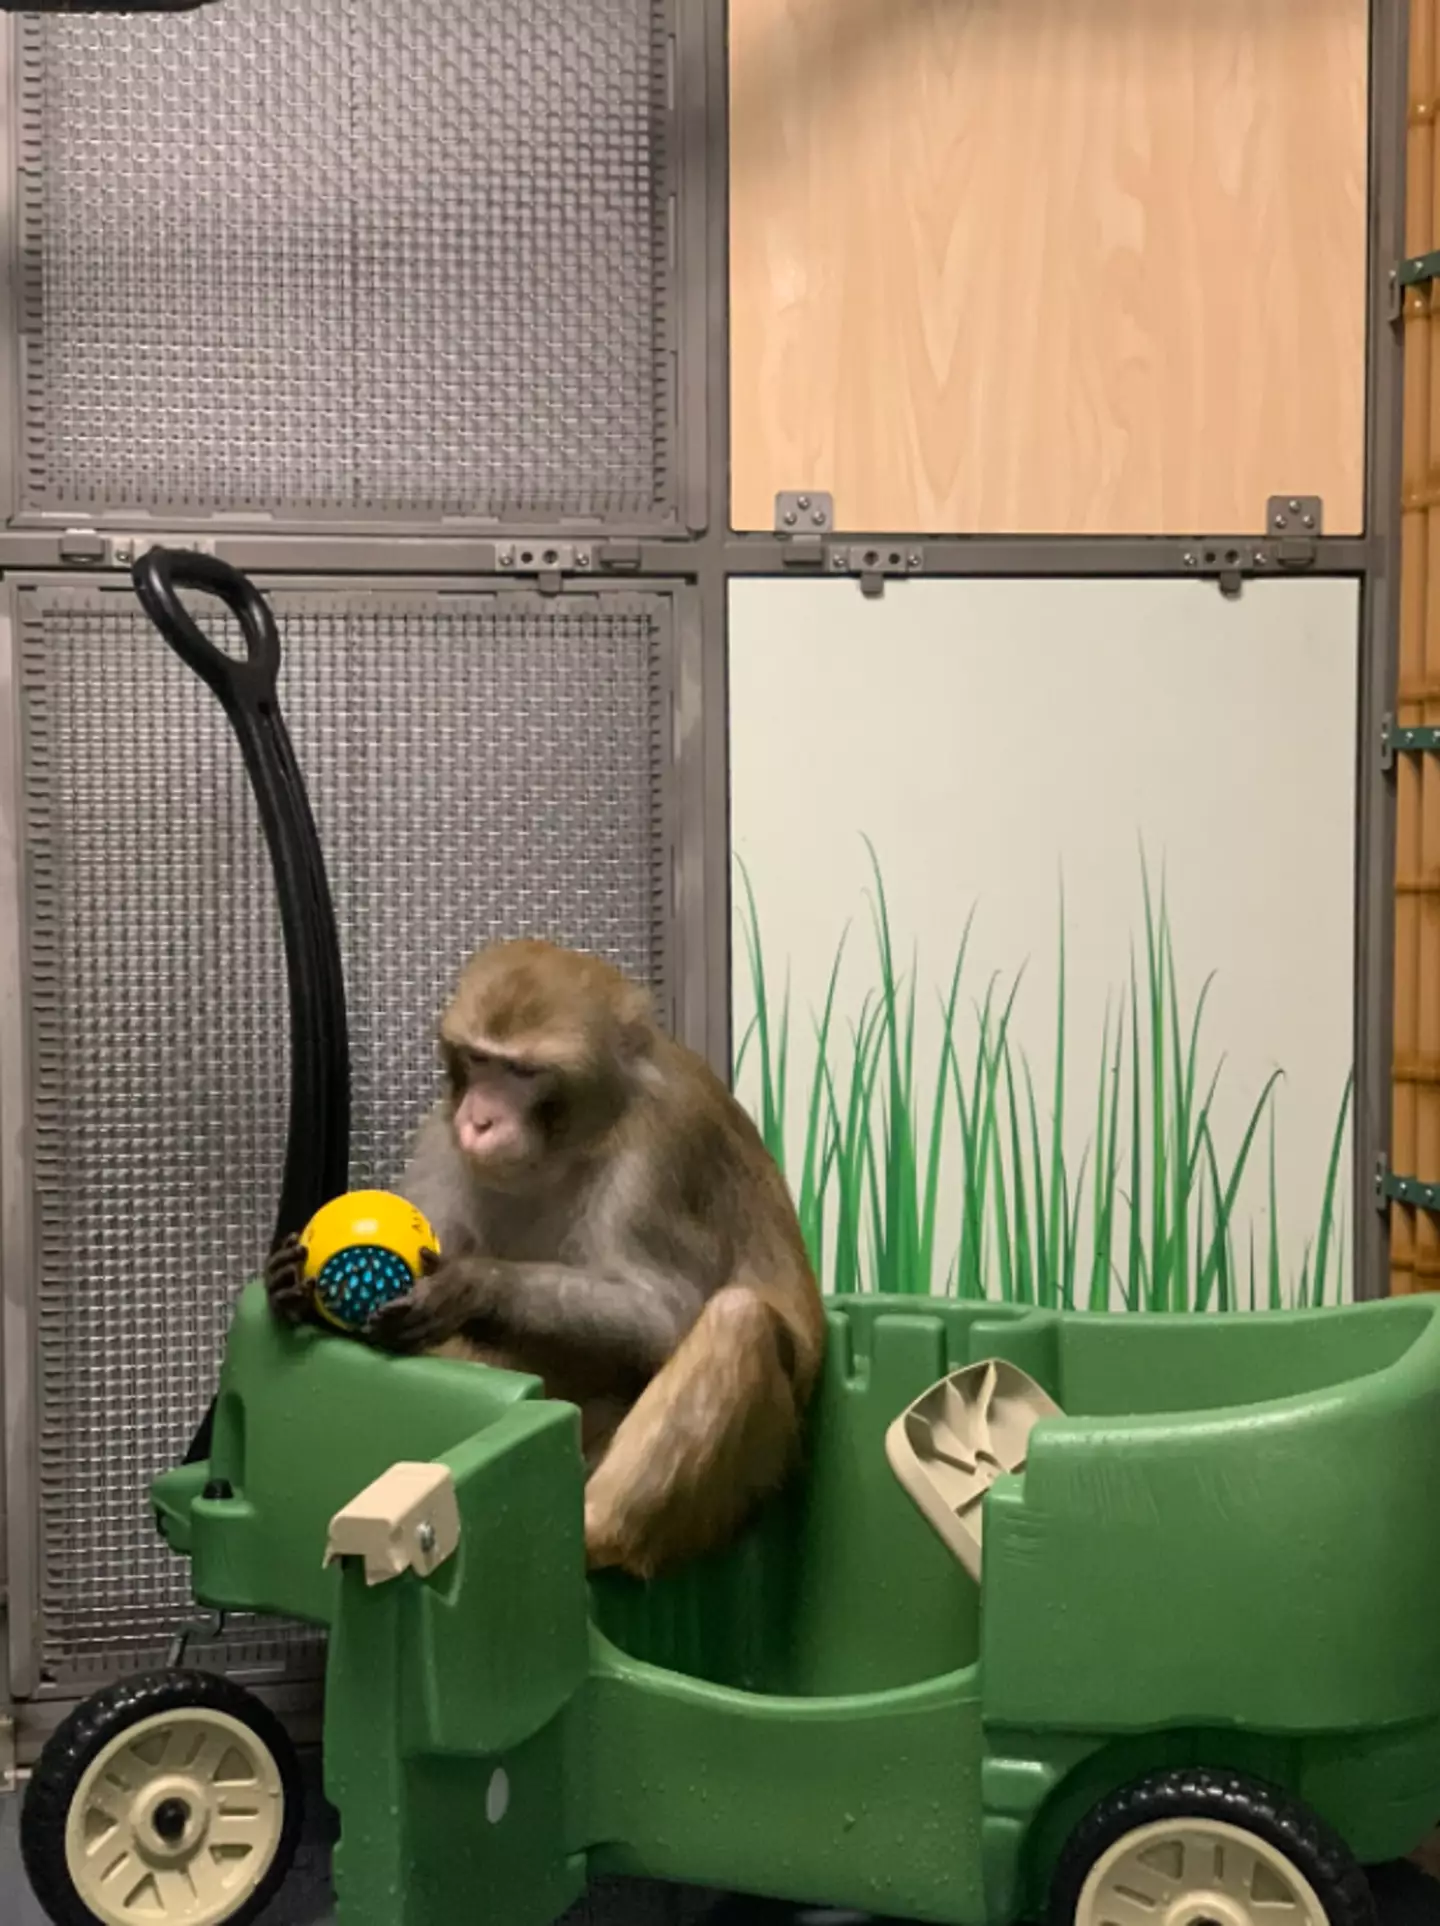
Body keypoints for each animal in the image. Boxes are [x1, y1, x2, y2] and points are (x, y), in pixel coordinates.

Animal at [265, 938, 827, 1581]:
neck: (566, 1146)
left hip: (747, 1480)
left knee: (739, 1319)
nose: (479, 1119)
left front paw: (476, 1285)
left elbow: (666, 1316)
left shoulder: (661, 1150)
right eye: (479, 1060)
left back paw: (586, 1534)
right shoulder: (442, 1135)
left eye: (522, 1072)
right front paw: (290, 1289)